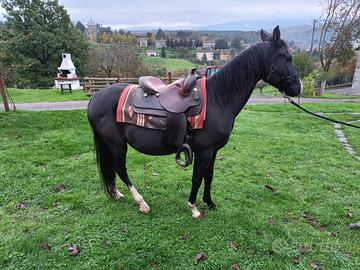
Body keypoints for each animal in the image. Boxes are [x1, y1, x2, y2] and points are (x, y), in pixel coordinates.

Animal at [87, 26, 300, 218]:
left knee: (112, 169)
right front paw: (194, 207)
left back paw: (116, 194)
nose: (298, 88)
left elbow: (209, 176)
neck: (218, 99)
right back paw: (142, 203)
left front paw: (209, 202)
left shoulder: (213, 150)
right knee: (120, 170)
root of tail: (95, 98)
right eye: (287, 57)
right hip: (117, 144)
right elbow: (197, 177)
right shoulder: (204, 150)